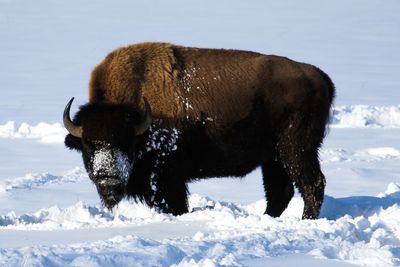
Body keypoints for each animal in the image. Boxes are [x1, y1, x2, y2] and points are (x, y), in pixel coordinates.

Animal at [64, 42, 334, 220]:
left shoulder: (167, 179)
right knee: (281, 191)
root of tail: (321, 78)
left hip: (295, 150)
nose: (108, 180)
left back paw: (306, 220)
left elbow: (176, 205)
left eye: (126, 142)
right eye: (88, 144)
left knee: (312, 184)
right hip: (273, 158)